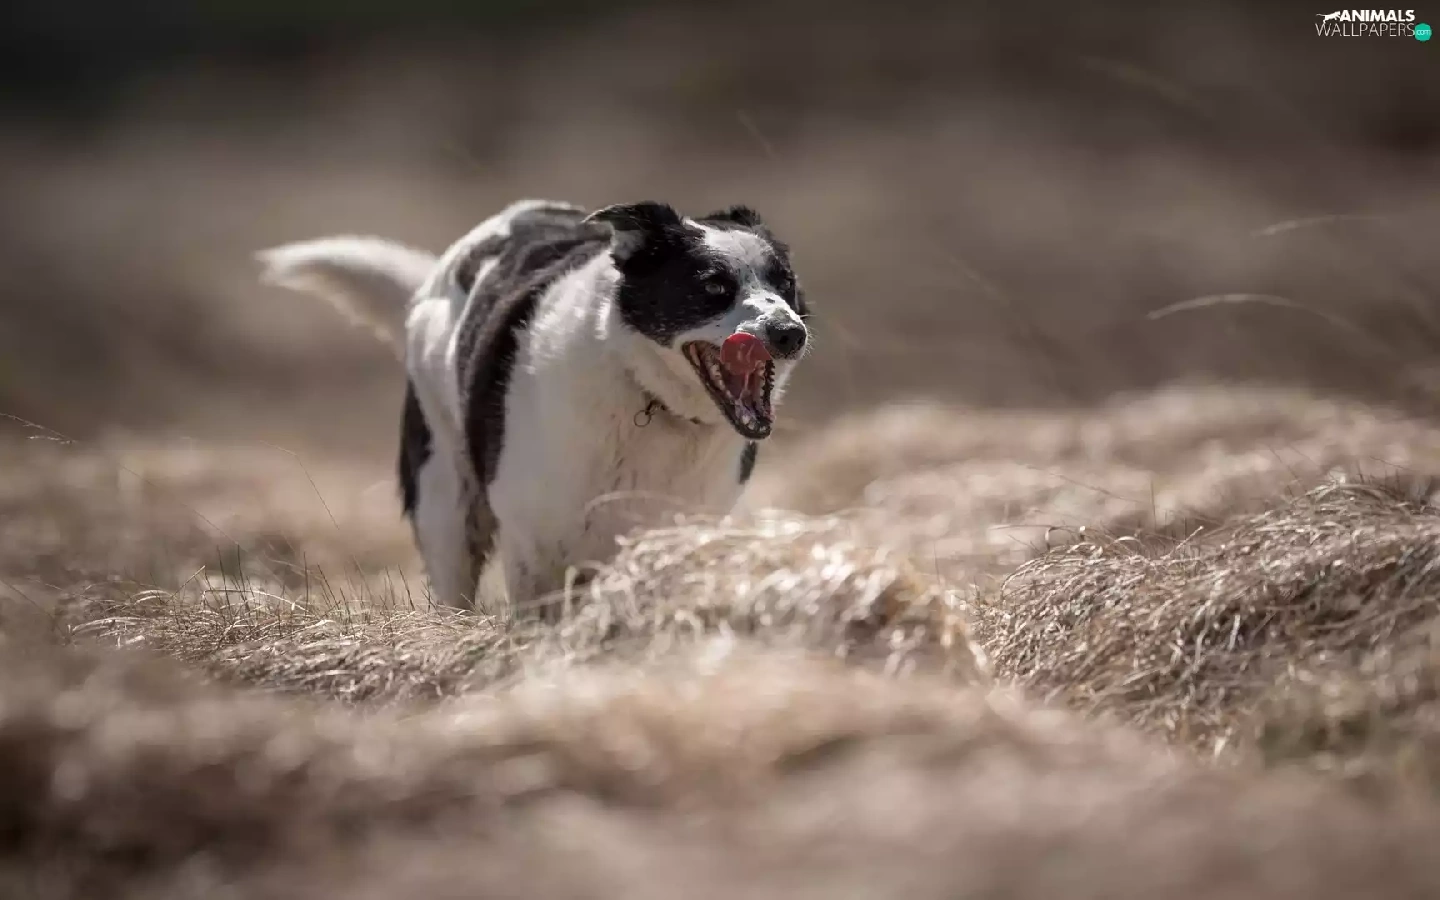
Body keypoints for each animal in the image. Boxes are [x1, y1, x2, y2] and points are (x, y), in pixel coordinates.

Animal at [258, 199, 810, 616]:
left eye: (784, 283)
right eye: (713, 285)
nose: (790, 333)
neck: (647, 397)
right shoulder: (534, 544)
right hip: (444, 502)